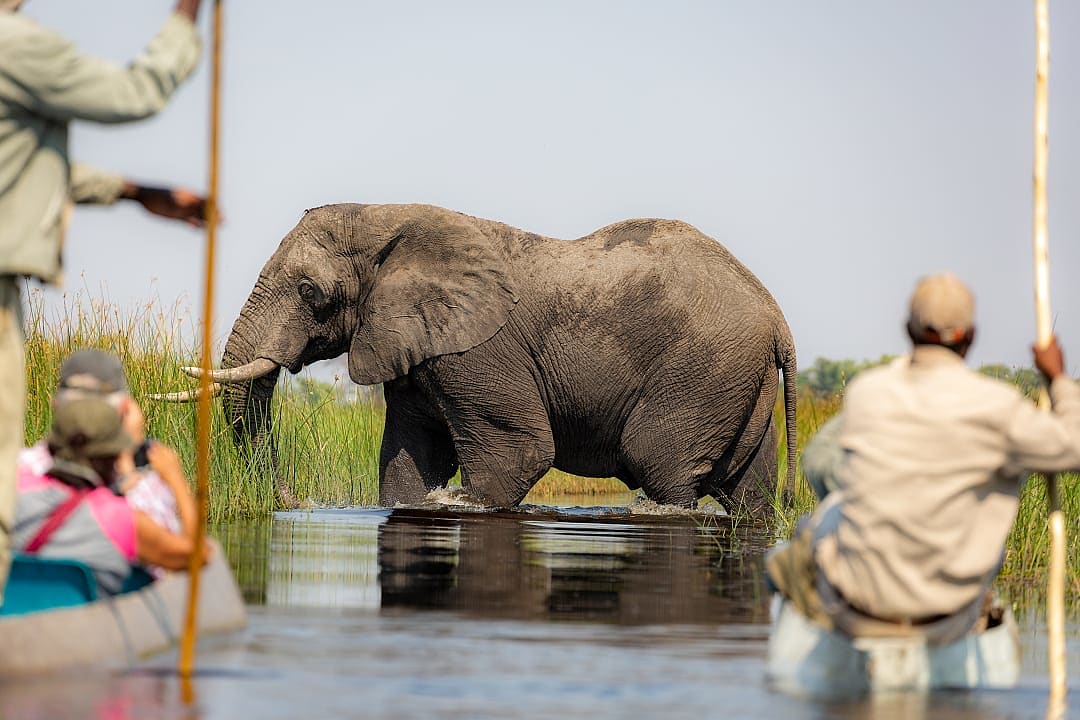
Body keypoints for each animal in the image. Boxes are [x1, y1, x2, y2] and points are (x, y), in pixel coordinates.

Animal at [179, 203, 797, 513]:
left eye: (311, 292)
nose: (289, 502)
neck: (390, 218)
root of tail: (776, 317)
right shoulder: (419, 343)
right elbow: (409, 458)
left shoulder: (478, 347)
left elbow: (521, 450)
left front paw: (459, 501)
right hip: (738, 380)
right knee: (750, 492)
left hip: (700, 372)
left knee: (659, 467)